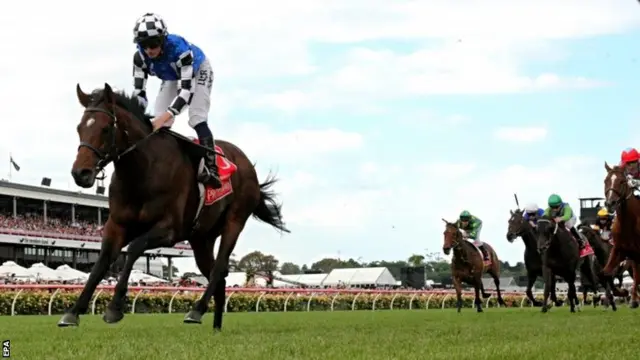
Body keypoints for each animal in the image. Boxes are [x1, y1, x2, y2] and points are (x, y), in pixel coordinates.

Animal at [58, 83, 288, 330]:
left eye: (105, 128)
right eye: (79, 128)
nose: (80, 173)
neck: (143, 171)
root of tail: (246, 165)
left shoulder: (170, 231)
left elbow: (133, 249)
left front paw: (114, 307)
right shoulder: (116, 225)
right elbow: (101, 263)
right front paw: (73, 312)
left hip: (234, 221)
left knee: (219, 268)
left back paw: (196, 310)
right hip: (201, 238)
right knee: (216, 273)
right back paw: (216, 326)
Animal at [604, 163, 640, 306]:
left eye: (621, 181)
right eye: (605, 181)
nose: (610, 203)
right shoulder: (619, 249)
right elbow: (606, 273)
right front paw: (622, 292)